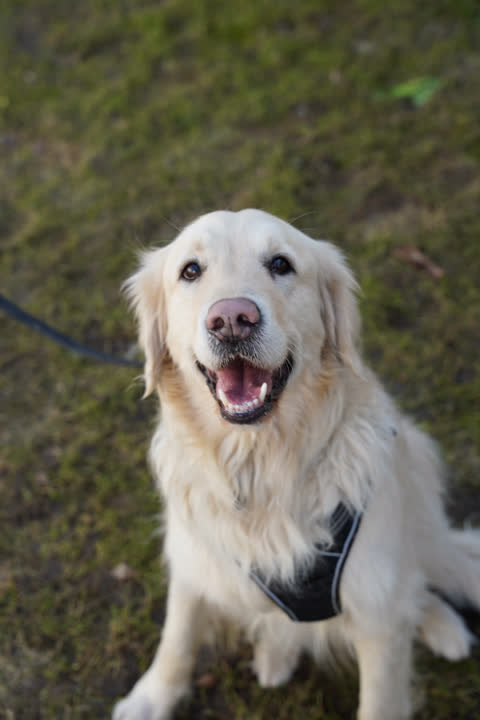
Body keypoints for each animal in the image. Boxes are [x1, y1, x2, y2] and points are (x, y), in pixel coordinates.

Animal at [113, 209, 479, 720]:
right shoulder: (193, 560)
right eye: (190, 271)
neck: (261, 466)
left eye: (281, 264)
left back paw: (443, 626)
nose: (232, 320)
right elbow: (177, 638)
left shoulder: (377, 610)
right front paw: (150, 697)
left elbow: (381, 696)